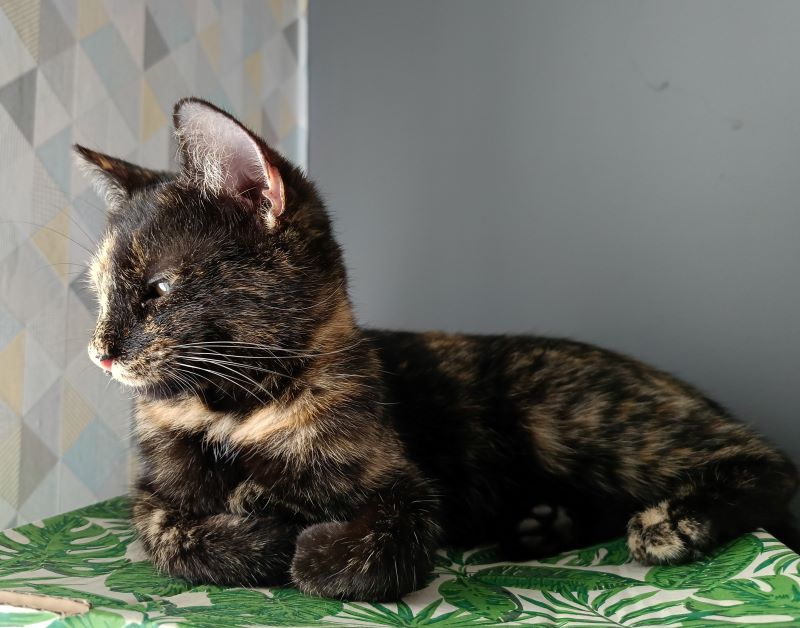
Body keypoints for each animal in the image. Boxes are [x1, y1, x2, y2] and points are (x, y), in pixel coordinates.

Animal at [76, 97, 798, 601]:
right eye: (99, 290)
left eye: (158, 289)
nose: (99, 352)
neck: (231, 413)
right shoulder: (150, 496)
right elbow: (168, 535)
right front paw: (259, 530)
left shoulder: (406, 492)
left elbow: (357, 560)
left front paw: (297, 541)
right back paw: (543, 525)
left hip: (565, 410)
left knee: (766, 461)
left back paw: (672, 522)